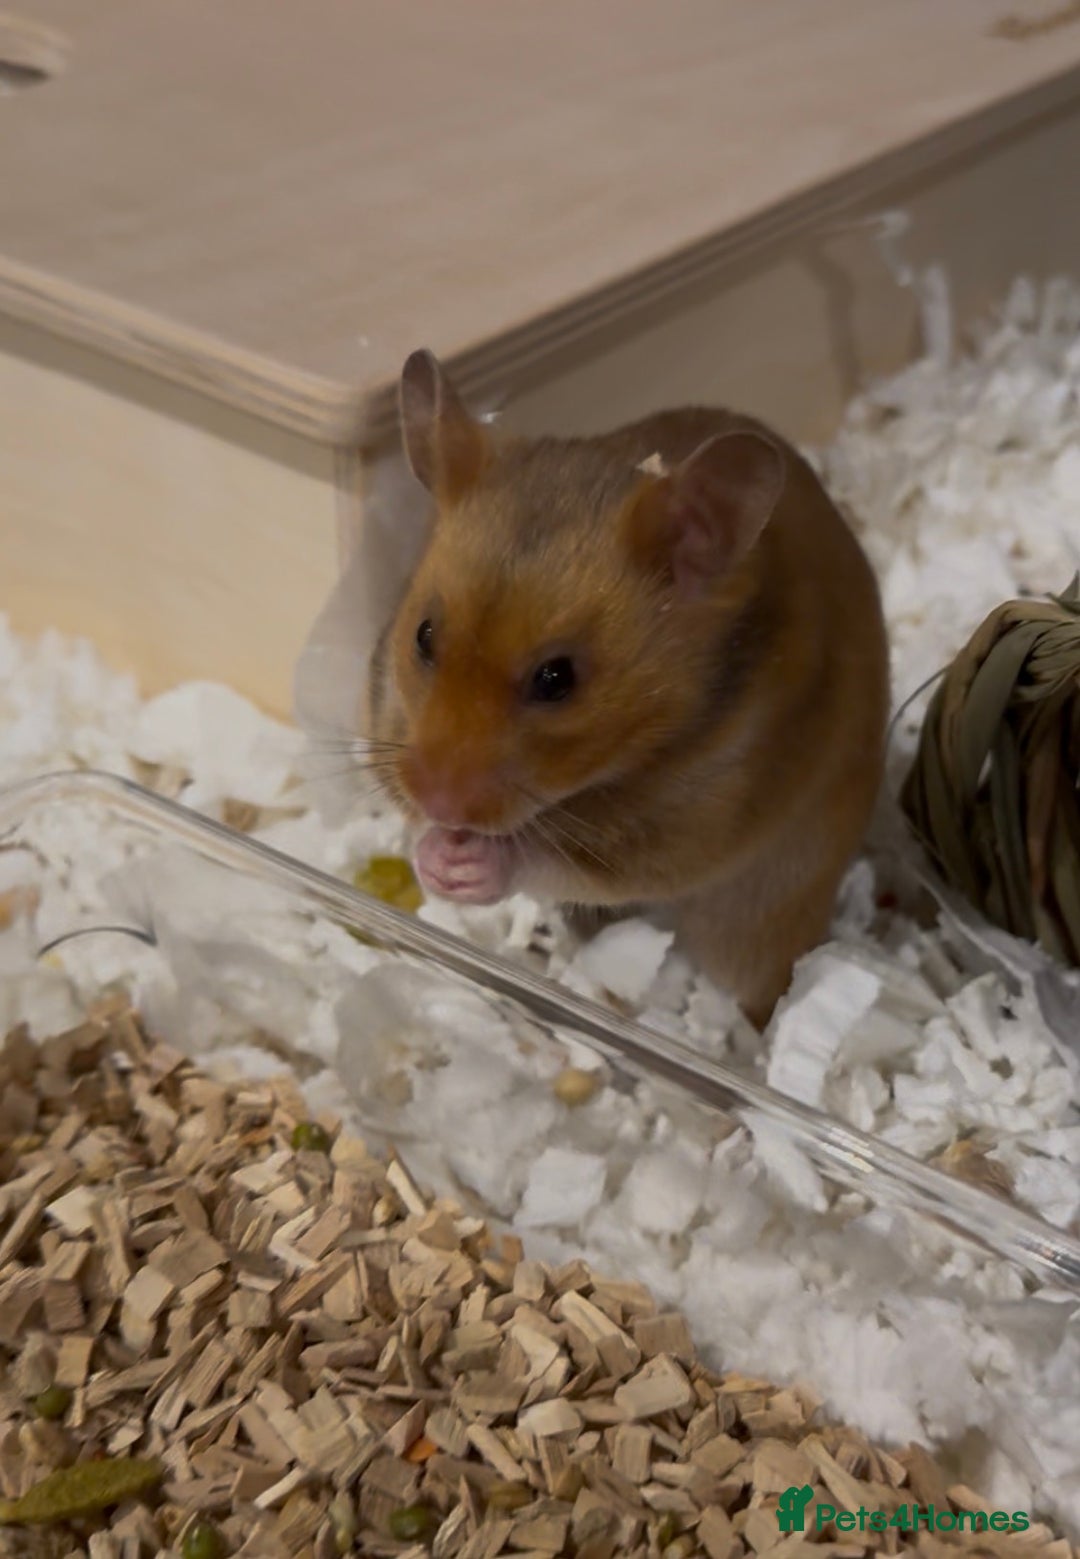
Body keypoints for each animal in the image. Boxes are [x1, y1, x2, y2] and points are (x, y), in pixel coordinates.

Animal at [366, 349, 889, 1028]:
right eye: (424, 636)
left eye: (557, 679)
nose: (440, 803)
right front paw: (435, 855)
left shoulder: (680, 826)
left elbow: (556, 861)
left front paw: (470, 861)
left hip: (766, 913)